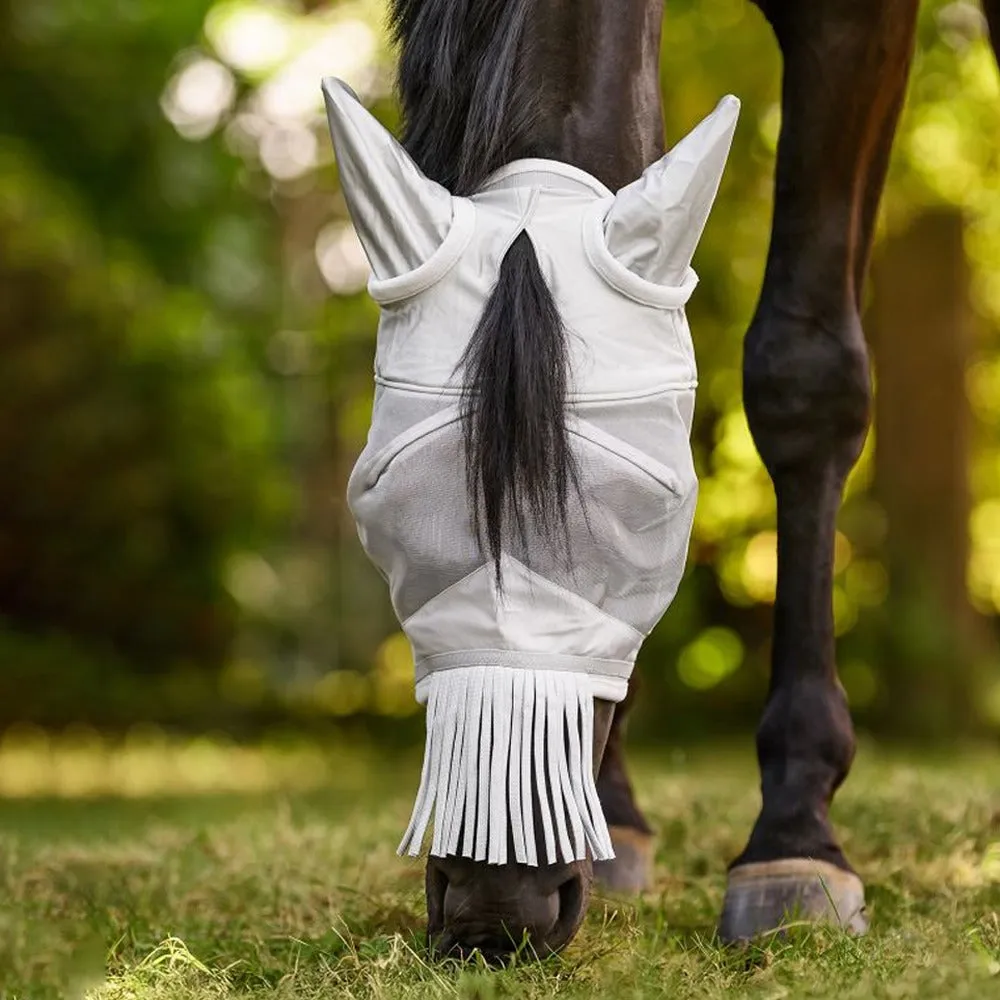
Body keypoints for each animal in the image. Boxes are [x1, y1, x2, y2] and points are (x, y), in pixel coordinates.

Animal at [331, 0, 1000, 960]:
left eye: (650, 515)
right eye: (387, 523)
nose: (495, 909)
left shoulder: (856, 22)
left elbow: (804, 371)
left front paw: (795, 841)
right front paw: (612, 817)